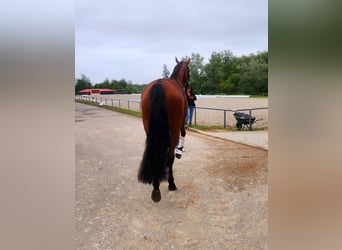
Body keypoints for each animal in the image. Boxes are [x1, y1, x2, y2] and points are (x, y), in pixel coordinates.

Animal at [138, 57, 190, 202]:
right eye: (189, 70)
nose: (188, 85)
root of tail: (158, 85)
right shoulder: (181, 121)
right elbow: (184, 133)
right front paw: (179, 151)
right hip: (174, 126)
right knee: (170, 155)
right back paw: (171, 183)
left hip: (148, 128)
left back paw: (156, 185)